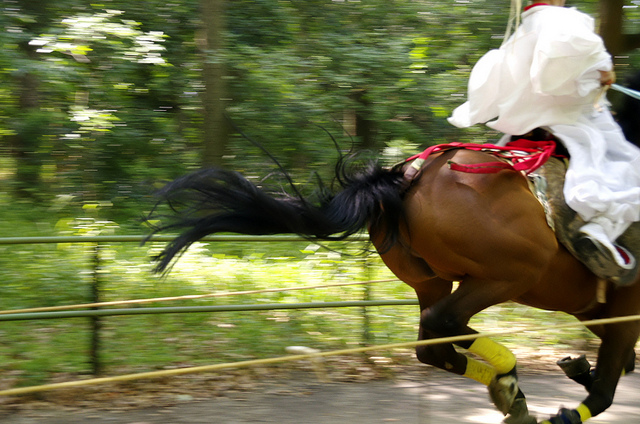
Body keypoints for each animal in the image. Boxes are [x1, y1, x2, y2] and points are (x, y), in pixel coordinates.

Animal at [149, 147, 640, 424]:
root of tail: (407, 178)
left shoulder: (605, 314)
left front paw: (580, 368)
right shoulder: (623, 312)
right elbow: (604, 392)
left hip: (435, 280)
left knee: (432, 344)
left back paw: (509, 388)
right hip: (512, 272)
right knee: (445, 324)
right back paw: (508, 379)